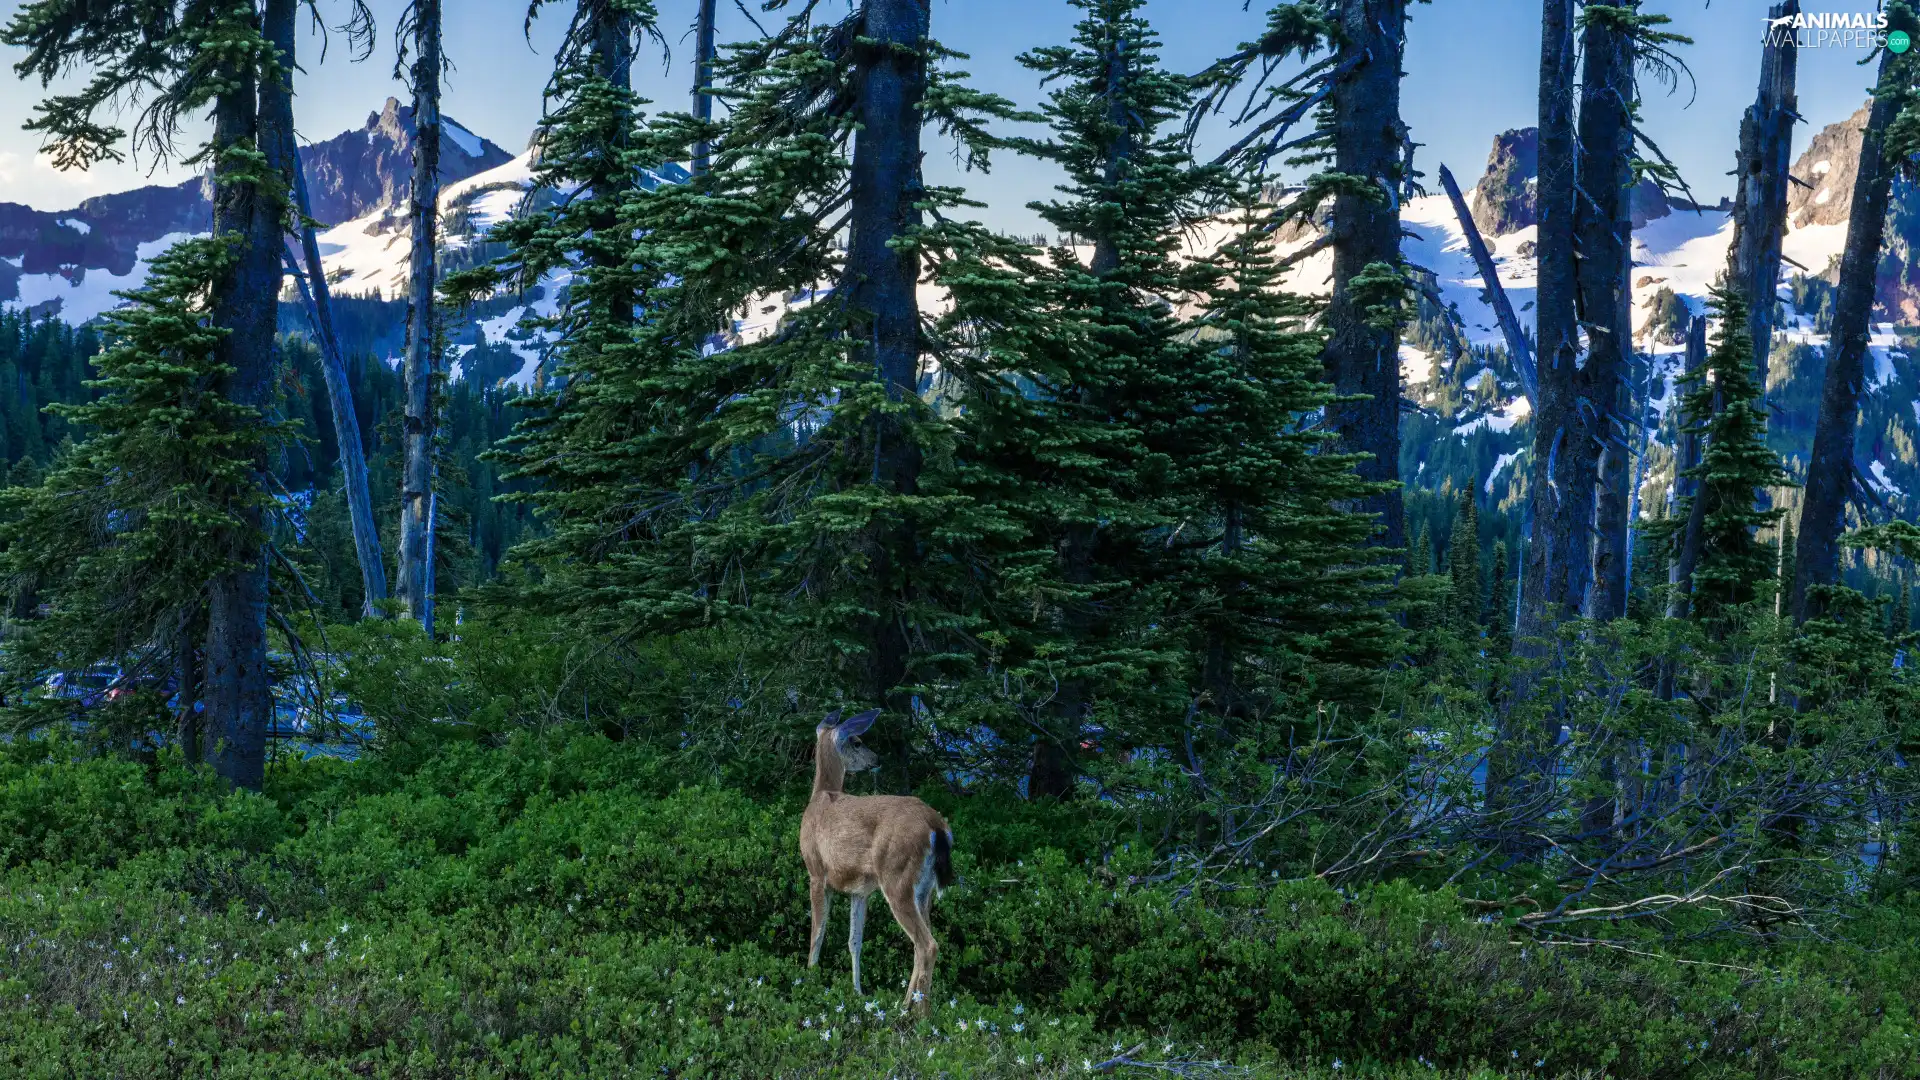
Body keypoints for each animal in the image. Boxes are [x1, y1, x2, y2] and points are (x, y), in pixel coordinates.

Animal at [794, 707, 952, 1006]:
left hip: (897, 877)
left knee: (928, 944)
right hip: (924, 889)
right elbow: (854, 940)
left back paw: (913, 1011)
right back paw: (912, 1005)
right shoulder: (860, 890)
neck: (821, 796)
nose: (876, 759)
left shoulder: (816, 872)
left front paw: (809, 978)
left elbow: (817, 932)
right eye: (857, 742)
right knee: (922, 943)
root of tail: (936, 825)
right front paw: (857, 990)